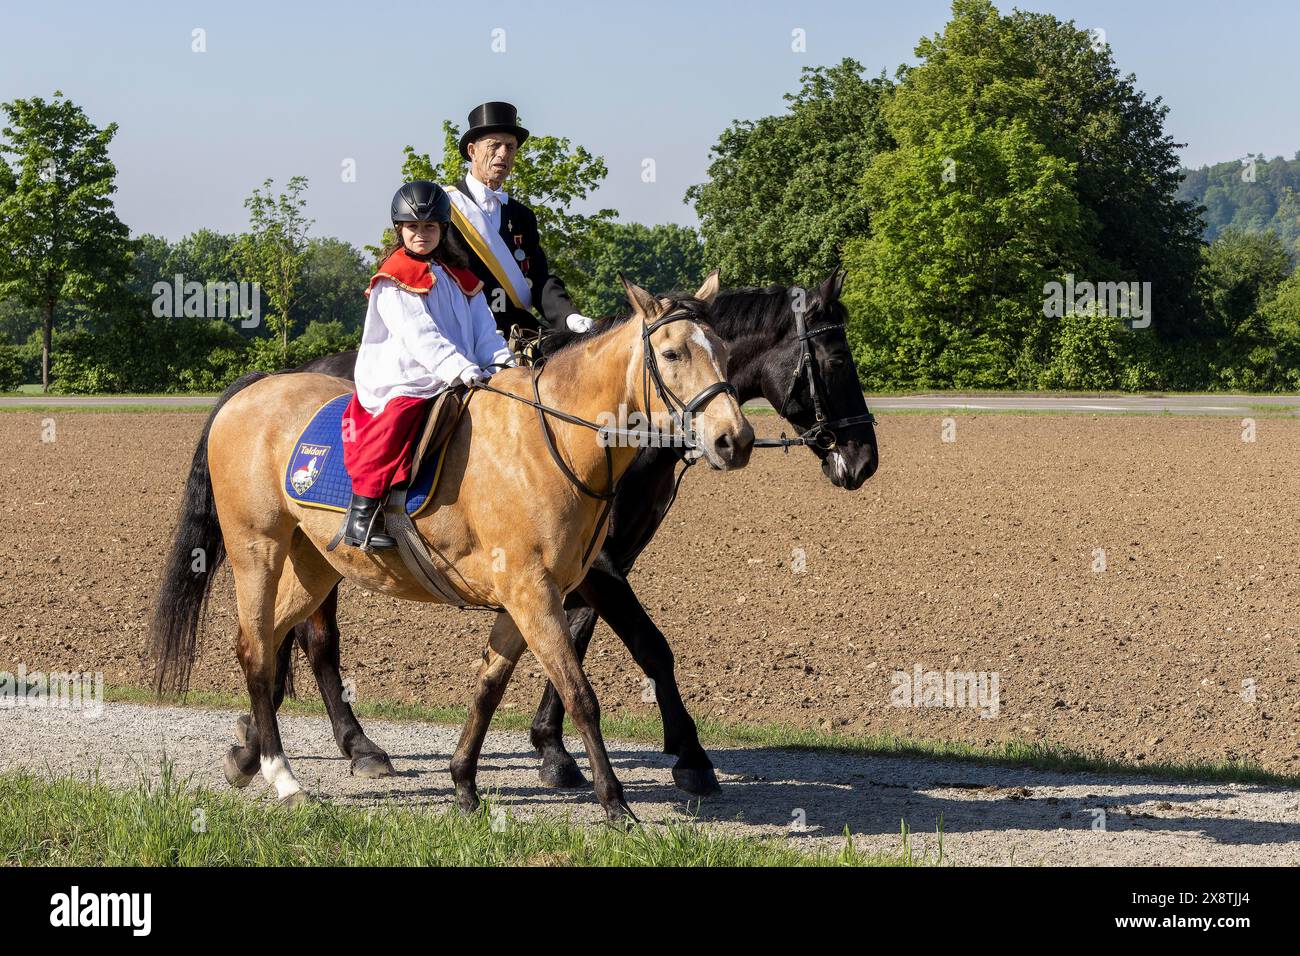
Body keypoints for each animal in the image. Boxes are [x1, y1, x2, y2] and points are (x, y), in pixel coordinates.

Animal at [150, 274, 754, 822]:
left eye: (725, 351)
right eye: (672, 352)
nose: (736, 440)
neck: (553, 441)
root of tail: (254, 389)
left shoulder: (534, 594)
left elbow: (489, 687)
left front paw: (464, 783)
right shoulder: (536, 592)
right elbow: (582, 692)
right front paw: (617, 804)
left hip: (315, 566)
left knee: (270, 641)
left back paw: (250, 756)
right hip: (257, 551)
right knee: (259, 649)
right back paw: (283, 775)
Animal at [215, 265, 883, 796]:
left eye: (721, 350)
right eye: (835, 359)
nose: (862, 459)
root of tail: (264, 386)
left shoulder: (591, 565)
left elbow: (572, 648)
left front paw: (553, 749)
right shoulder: (591, 570)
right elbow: (648, 649)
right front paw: (686, 757)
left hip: (313, 560)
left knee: (276, 637)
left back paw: (256, 744)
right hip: (270, 550)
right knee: (304, 642)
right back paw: (330, 751)